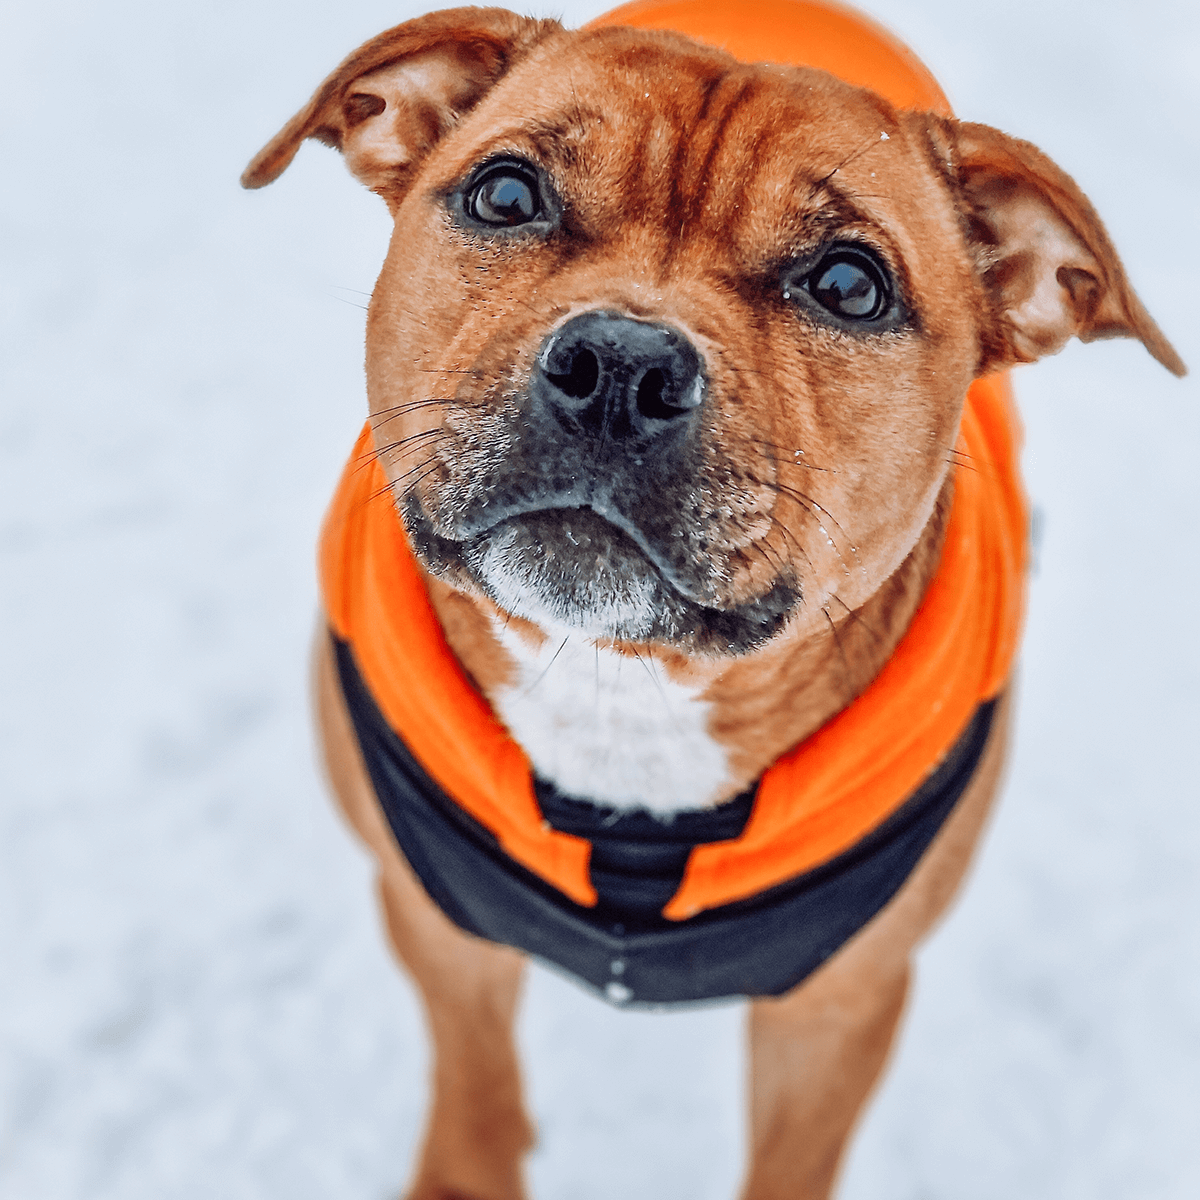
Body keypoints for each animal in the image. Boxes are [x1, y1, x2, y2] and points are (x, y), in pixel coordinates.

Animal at [241, 4, 1180, 1195]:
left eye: (849, 285)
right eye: (505, 195)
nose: (619, 364)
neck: (622, 690)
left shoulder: (840, 1005)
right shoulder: (437, 923)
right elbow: (476, 1084)